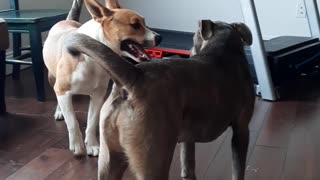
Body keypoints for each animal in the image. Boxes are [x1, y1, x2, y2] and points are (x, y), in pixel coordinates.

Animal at [42, 0, 161, 155]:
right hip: (53, 79)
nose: (160, 37)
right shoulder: (63, 89)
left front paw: (92, 145)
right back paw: (59, 111)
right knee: (58, 97)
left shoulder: (98, 95)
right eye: (135, 25)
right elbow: (72, 122)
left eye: (144, 22)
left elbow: (92, 123)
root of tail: (67, 20)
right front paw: (77, 145)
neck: (91, 57)